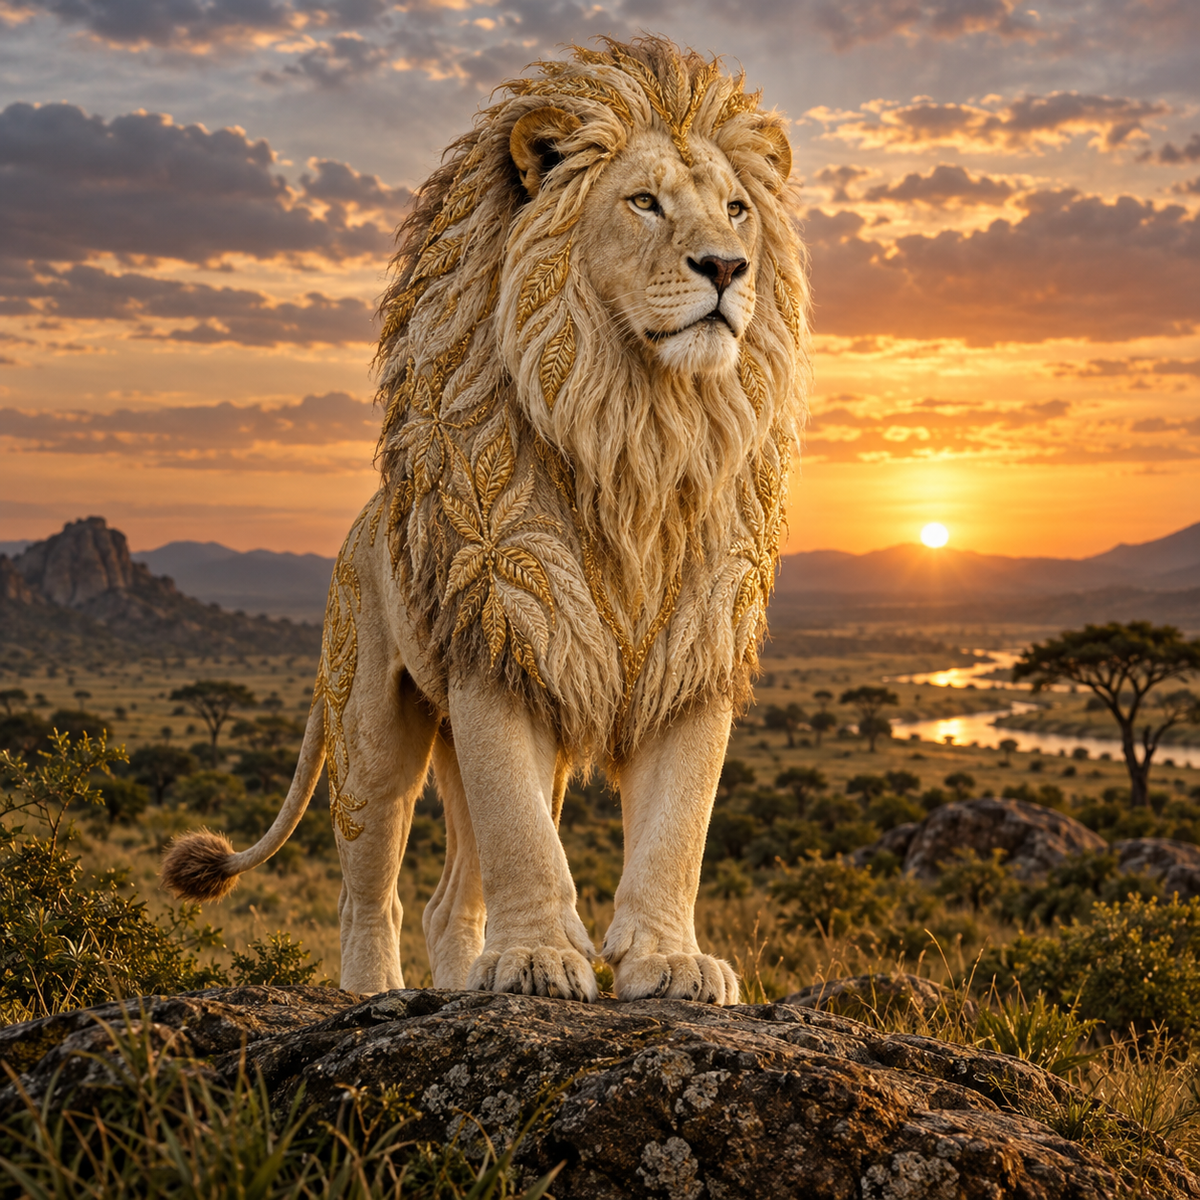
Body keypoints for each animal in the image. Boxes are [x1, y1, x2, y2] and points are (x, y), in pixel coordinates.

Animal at [162, 35, 811, 1005]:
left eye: (736, 209)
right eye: (645, 202)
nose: (728, 269)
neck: (641, 434)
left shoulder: (695, 645)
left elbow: (678, 827)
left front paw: (669, 963)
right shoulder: (503, 625)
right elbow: (523, 838)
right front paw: (537, 959)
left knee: (448, 900)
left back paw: (466, 974)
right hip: (368, 726)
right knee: (372, 894)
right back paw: (377, 996)